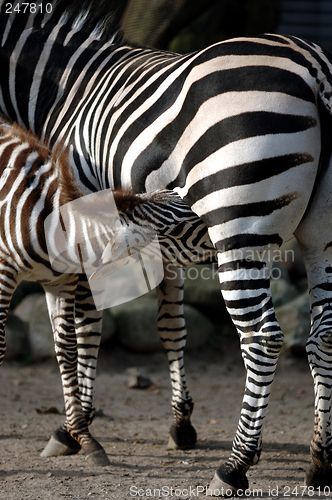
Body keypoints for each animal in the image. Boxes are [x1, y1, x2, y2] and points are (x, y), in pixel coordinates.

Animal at [1, 0, 332, 492]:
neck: (60, 93)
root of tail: (315, 70)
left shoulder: (80, 229)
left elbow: (82, 329)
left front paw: (73, 429)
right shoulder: (160, 245)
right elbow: (171, 326)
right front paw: (181, 424)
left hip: (238, 226)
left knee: (262, 338)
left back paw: (234, 466)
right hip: (321, 236)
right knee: (322, 335)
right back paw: (319, 460)